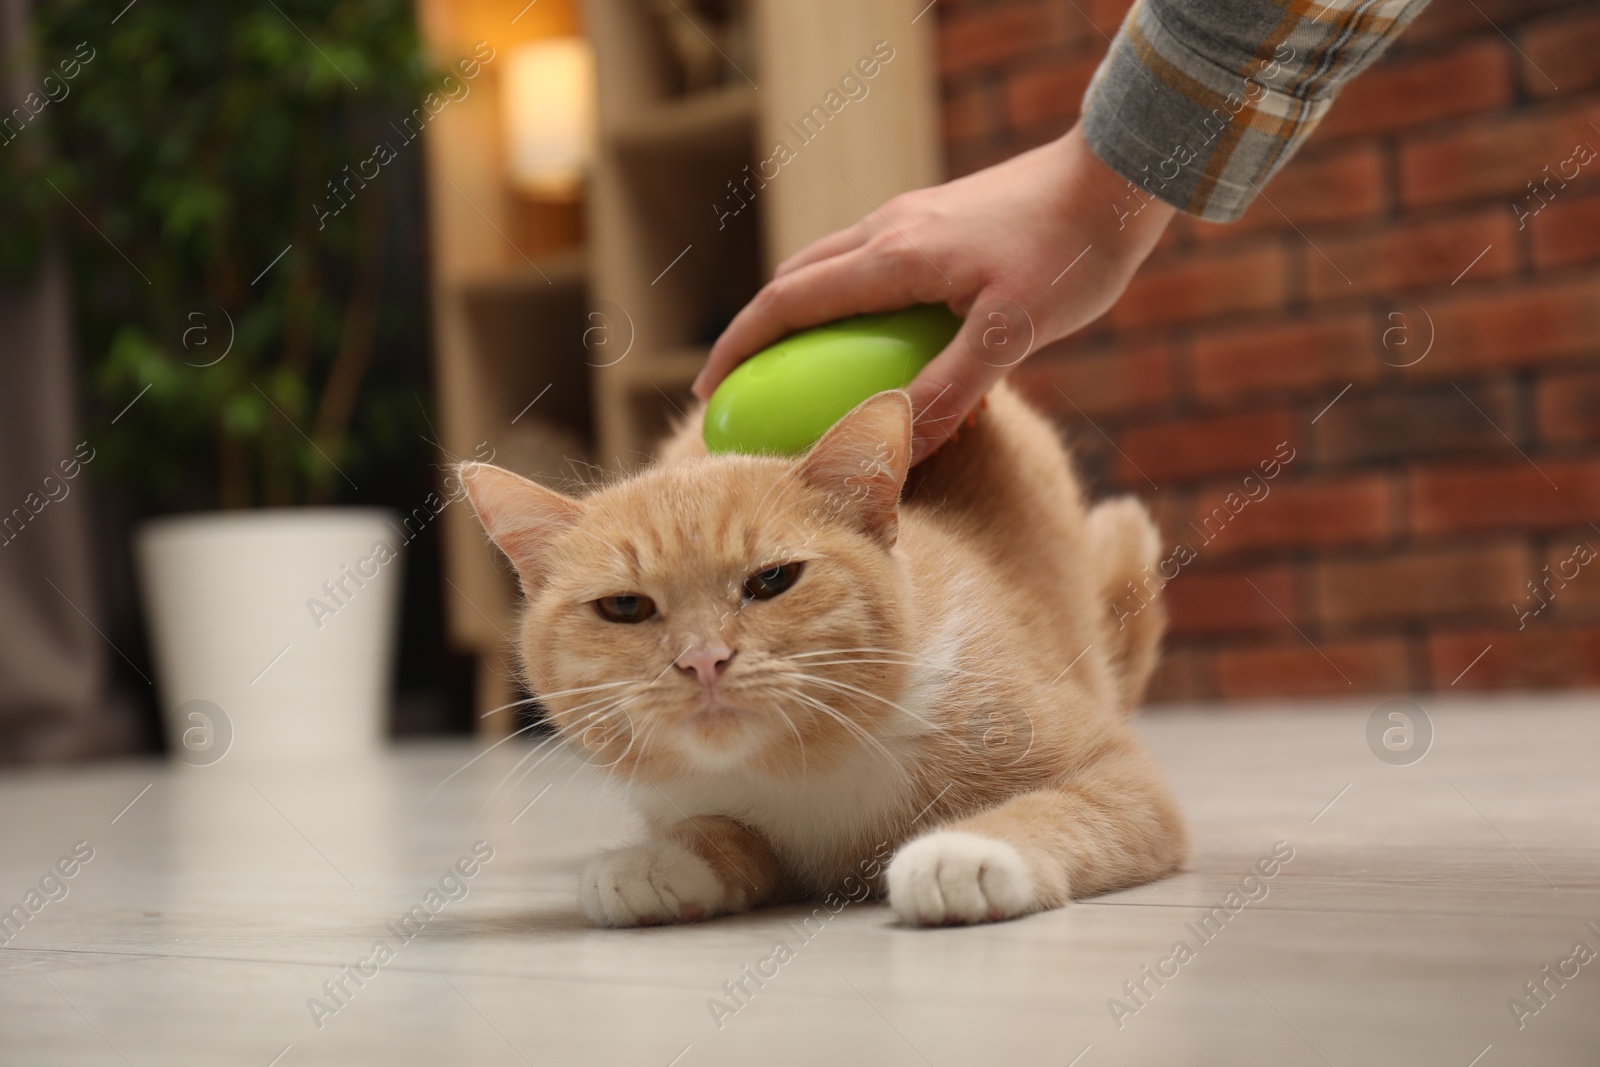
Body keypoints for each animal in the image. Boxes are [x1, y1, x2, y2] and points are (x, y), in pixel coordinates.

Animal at [457, 383, 1184, 927]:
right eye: (626, 607)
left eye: (772, 580)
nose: (702, 659)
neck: (807, 765)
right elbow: (722, 832)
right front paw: (654, 860)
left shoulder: (1123, 776)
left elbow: (1060, 809)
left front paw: (963, 851)